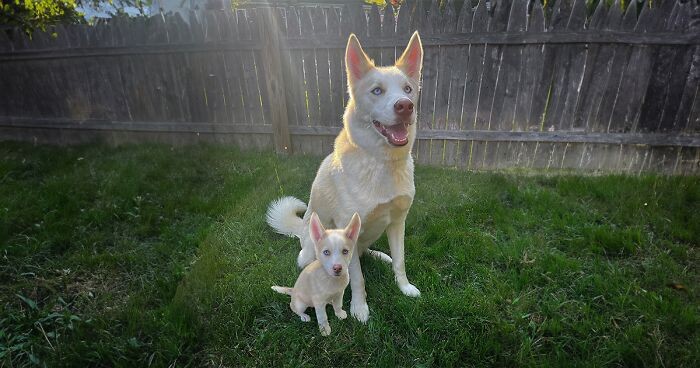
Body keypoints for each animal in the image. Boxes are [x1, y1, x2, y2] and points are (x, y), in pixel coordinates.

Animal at [266, 33, 422, 324]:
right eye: (377, 91)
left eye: (407, 89)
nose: (406, 106)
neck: (381, 163)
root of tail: (301, 230)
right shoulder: (347, 232)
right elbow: (358, 279)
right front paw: (359, 308)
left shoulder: (398, 222)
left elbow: (400, 261)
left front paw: (405, 287)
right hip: (309, 255)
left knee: (365, 252)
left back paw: (379, 255)